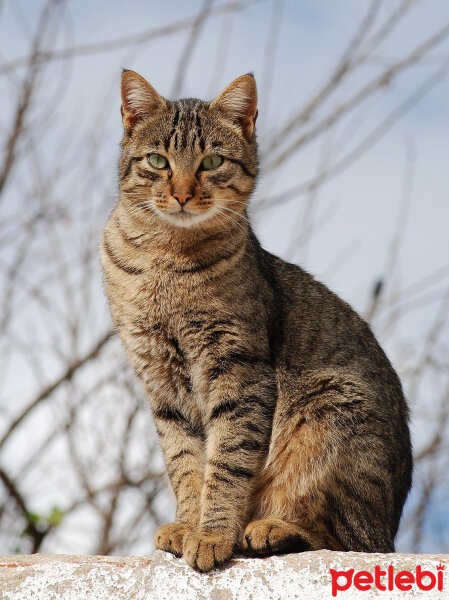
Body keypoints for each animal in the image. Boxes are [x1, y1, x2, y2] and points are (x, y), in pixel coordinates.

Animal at [100, 69, 412, 572]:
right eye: (158, 161)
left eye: (211, 161)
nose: (182, 193)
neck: (166, 259)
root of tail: (390, 524)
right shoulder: (161, 382)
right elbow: (186, 463)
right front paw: (188, 525)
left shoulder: (239, 370)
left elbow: (226, 462)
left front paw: (212, 534)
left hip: (330, 407)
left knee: (344, 539)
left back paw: (271, 528)